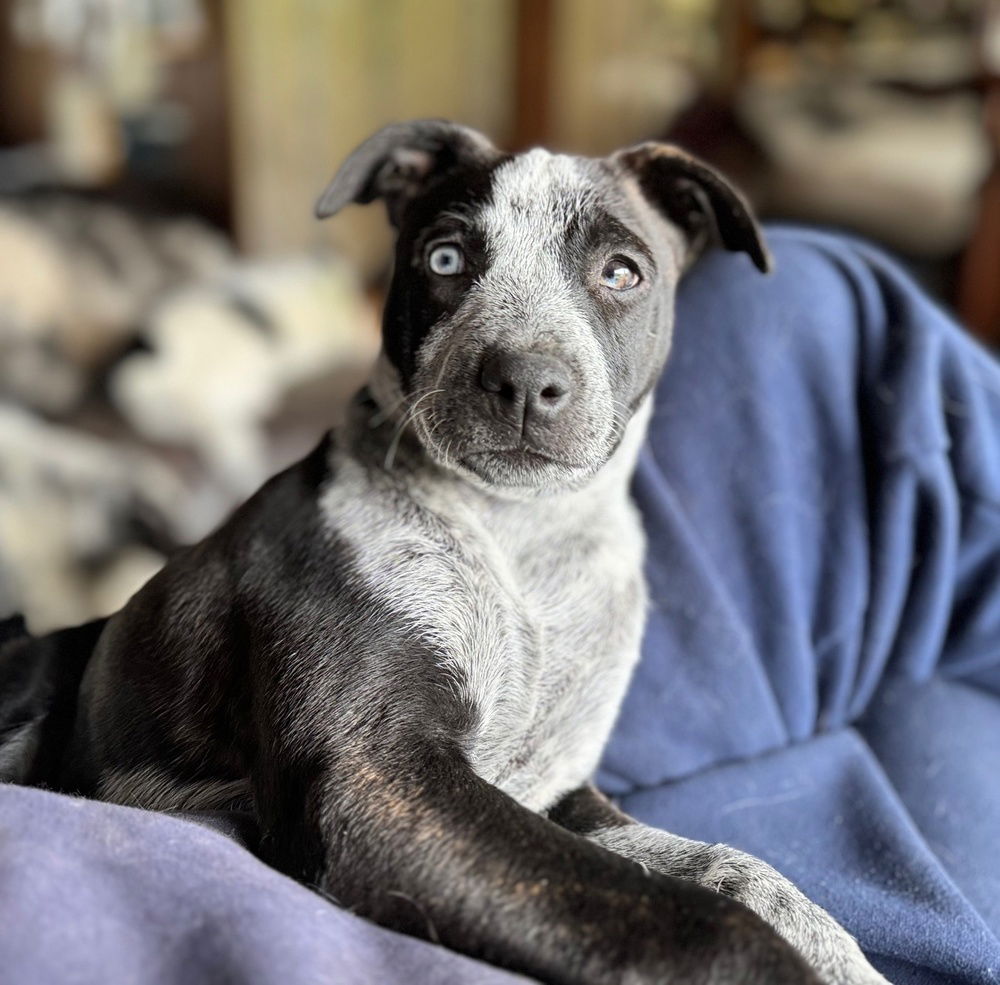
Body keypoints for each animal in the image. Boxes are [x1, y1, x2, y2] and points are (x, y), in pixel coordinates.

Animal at [0, 123, 892, 984]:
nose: (525, 380)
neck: (521, 539)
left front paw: (835, 950)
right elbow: (699, 921)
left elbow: (722, 869)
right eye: (445, 259)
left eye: (622, 272)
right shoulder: (379, 779)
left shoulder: (550, 788)